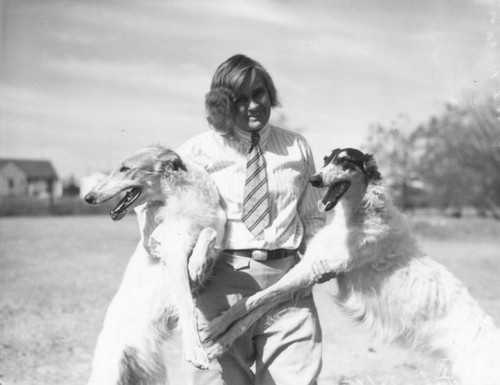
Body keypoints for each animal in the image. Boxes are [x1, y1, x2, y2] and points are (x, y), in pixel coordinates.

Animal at [85, 145, 226, 384]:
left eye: (125, 168)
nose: (88, 197)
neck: (182, 197)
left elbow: (208, 233)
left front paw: (197, 265)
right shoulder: (174, 253)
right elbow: (188, 307)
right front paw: (195, 352)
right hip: (110, 372)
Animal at [202, 148, 500, 384]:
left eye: (345, 161)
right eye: (326, 159)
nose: (314, 179)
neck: (358, 217)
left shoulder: (313, 270)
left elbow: (253, 299)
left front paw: (216, 330)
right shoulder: (309, 268)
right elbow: (256, 307)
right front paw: (220, 341)